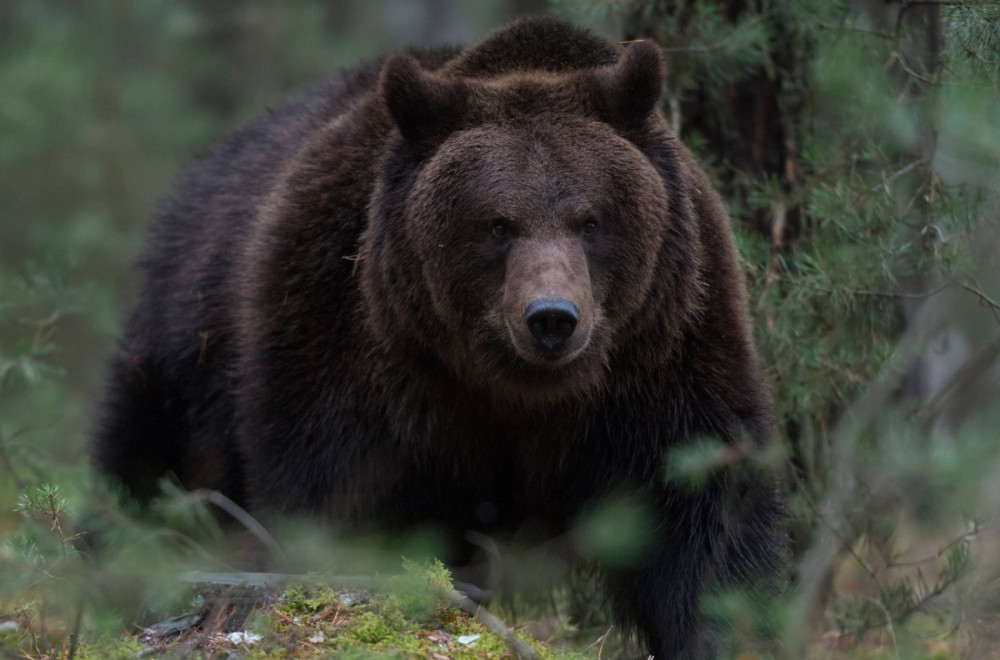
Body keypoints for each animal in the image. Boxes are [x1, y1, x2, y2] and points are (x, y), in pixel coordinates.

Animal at [95, 16, 788, 660]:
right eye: (498, 224)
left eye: (591, 220)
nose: (552, 317)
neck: (518, 392)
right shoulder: (352, 347)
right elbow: (335, 496)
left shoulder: (667, 355)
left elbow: (703, 514)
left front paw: (724, 628)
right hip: (188, 348)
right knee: (145, 471)